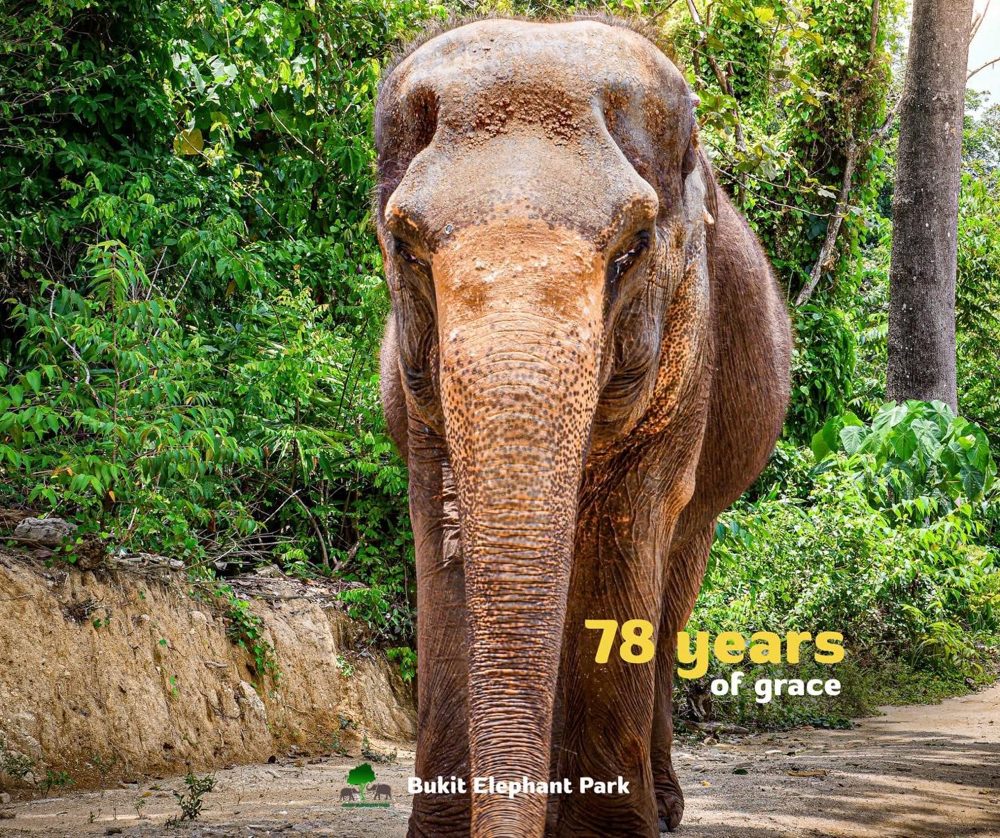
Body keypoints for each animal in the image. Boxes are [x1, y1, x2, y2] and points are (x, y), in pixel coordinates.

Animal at [375, 16, 791, 838]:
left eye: (631, 247)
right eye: (406, 246)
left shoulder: (686, 361)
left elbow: (622, 539)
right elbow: (445, 537)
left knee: (673, 591)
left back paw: (667, 806)